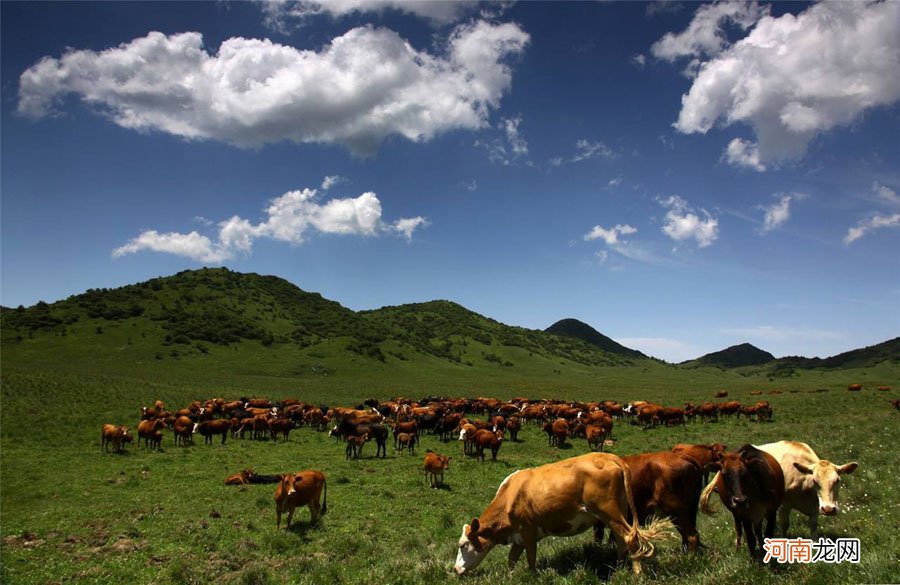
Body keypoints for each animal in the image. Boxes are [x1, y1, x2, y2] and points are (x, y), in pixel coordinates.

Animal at [454, 452, 672, 576]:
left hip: (608, 511)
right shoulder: (518, 536)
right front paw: (510, 575)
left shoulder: (528, 531)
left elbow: (530, 558)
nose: (455, 569)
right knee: (621, 540)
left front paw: (532, 576)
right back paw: (618, 568)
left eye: (463, 545)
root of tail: (610, 457)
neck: (510, 495)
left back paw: (637, 573)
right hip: (617, 512)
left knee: (629, 537)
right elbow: (512, 558)